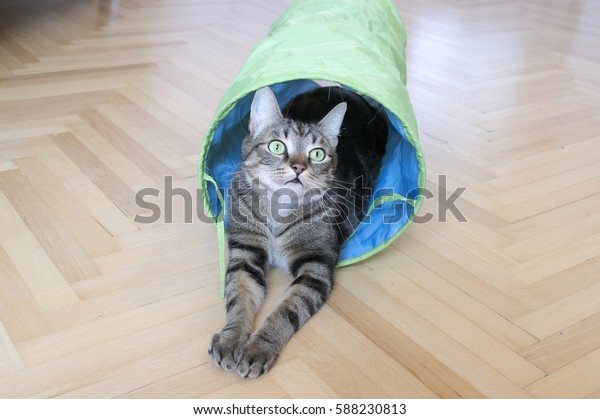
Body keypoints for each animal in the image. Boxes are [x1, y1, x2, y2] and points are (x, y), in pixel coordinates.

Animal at [209, 86, 386, 380]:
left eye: (317, 154)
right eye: (277, 146)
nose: (299, 167)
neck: (279, 208)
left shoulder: (315, 266)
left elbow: (287, 311)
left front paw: (258, 348)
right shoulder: (245, 252)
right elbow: (239, 297)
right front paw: (231, 339)